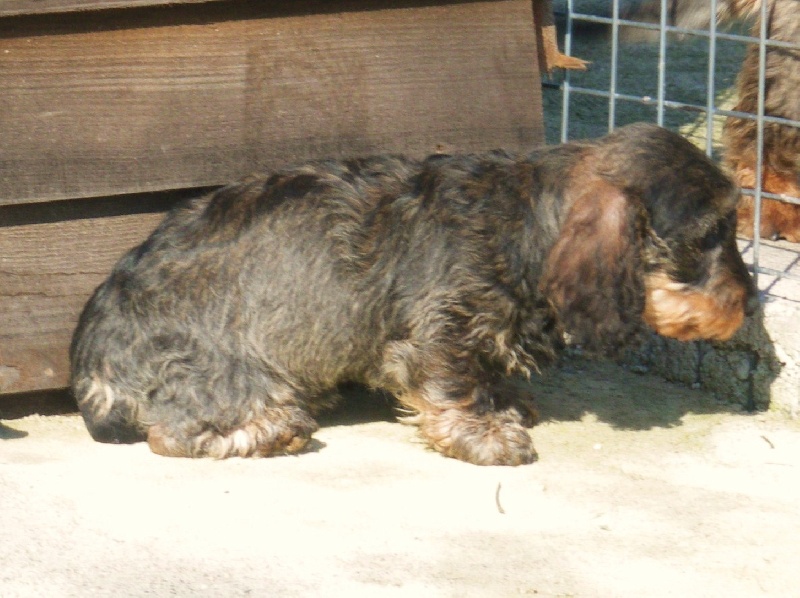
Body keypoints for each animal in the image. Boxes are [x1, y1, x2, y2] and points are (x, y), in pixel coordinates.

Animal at [70, 123, 758, 466]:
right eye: (708, 235)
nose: (750, 304)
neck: (520, 217)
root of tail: (93, 369)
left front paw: (505, 403)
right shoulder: (439, 330)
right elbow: (451, 384)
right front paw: (482, 434)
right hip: (235, 378)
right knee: (174, 433)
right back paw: (268, 432)